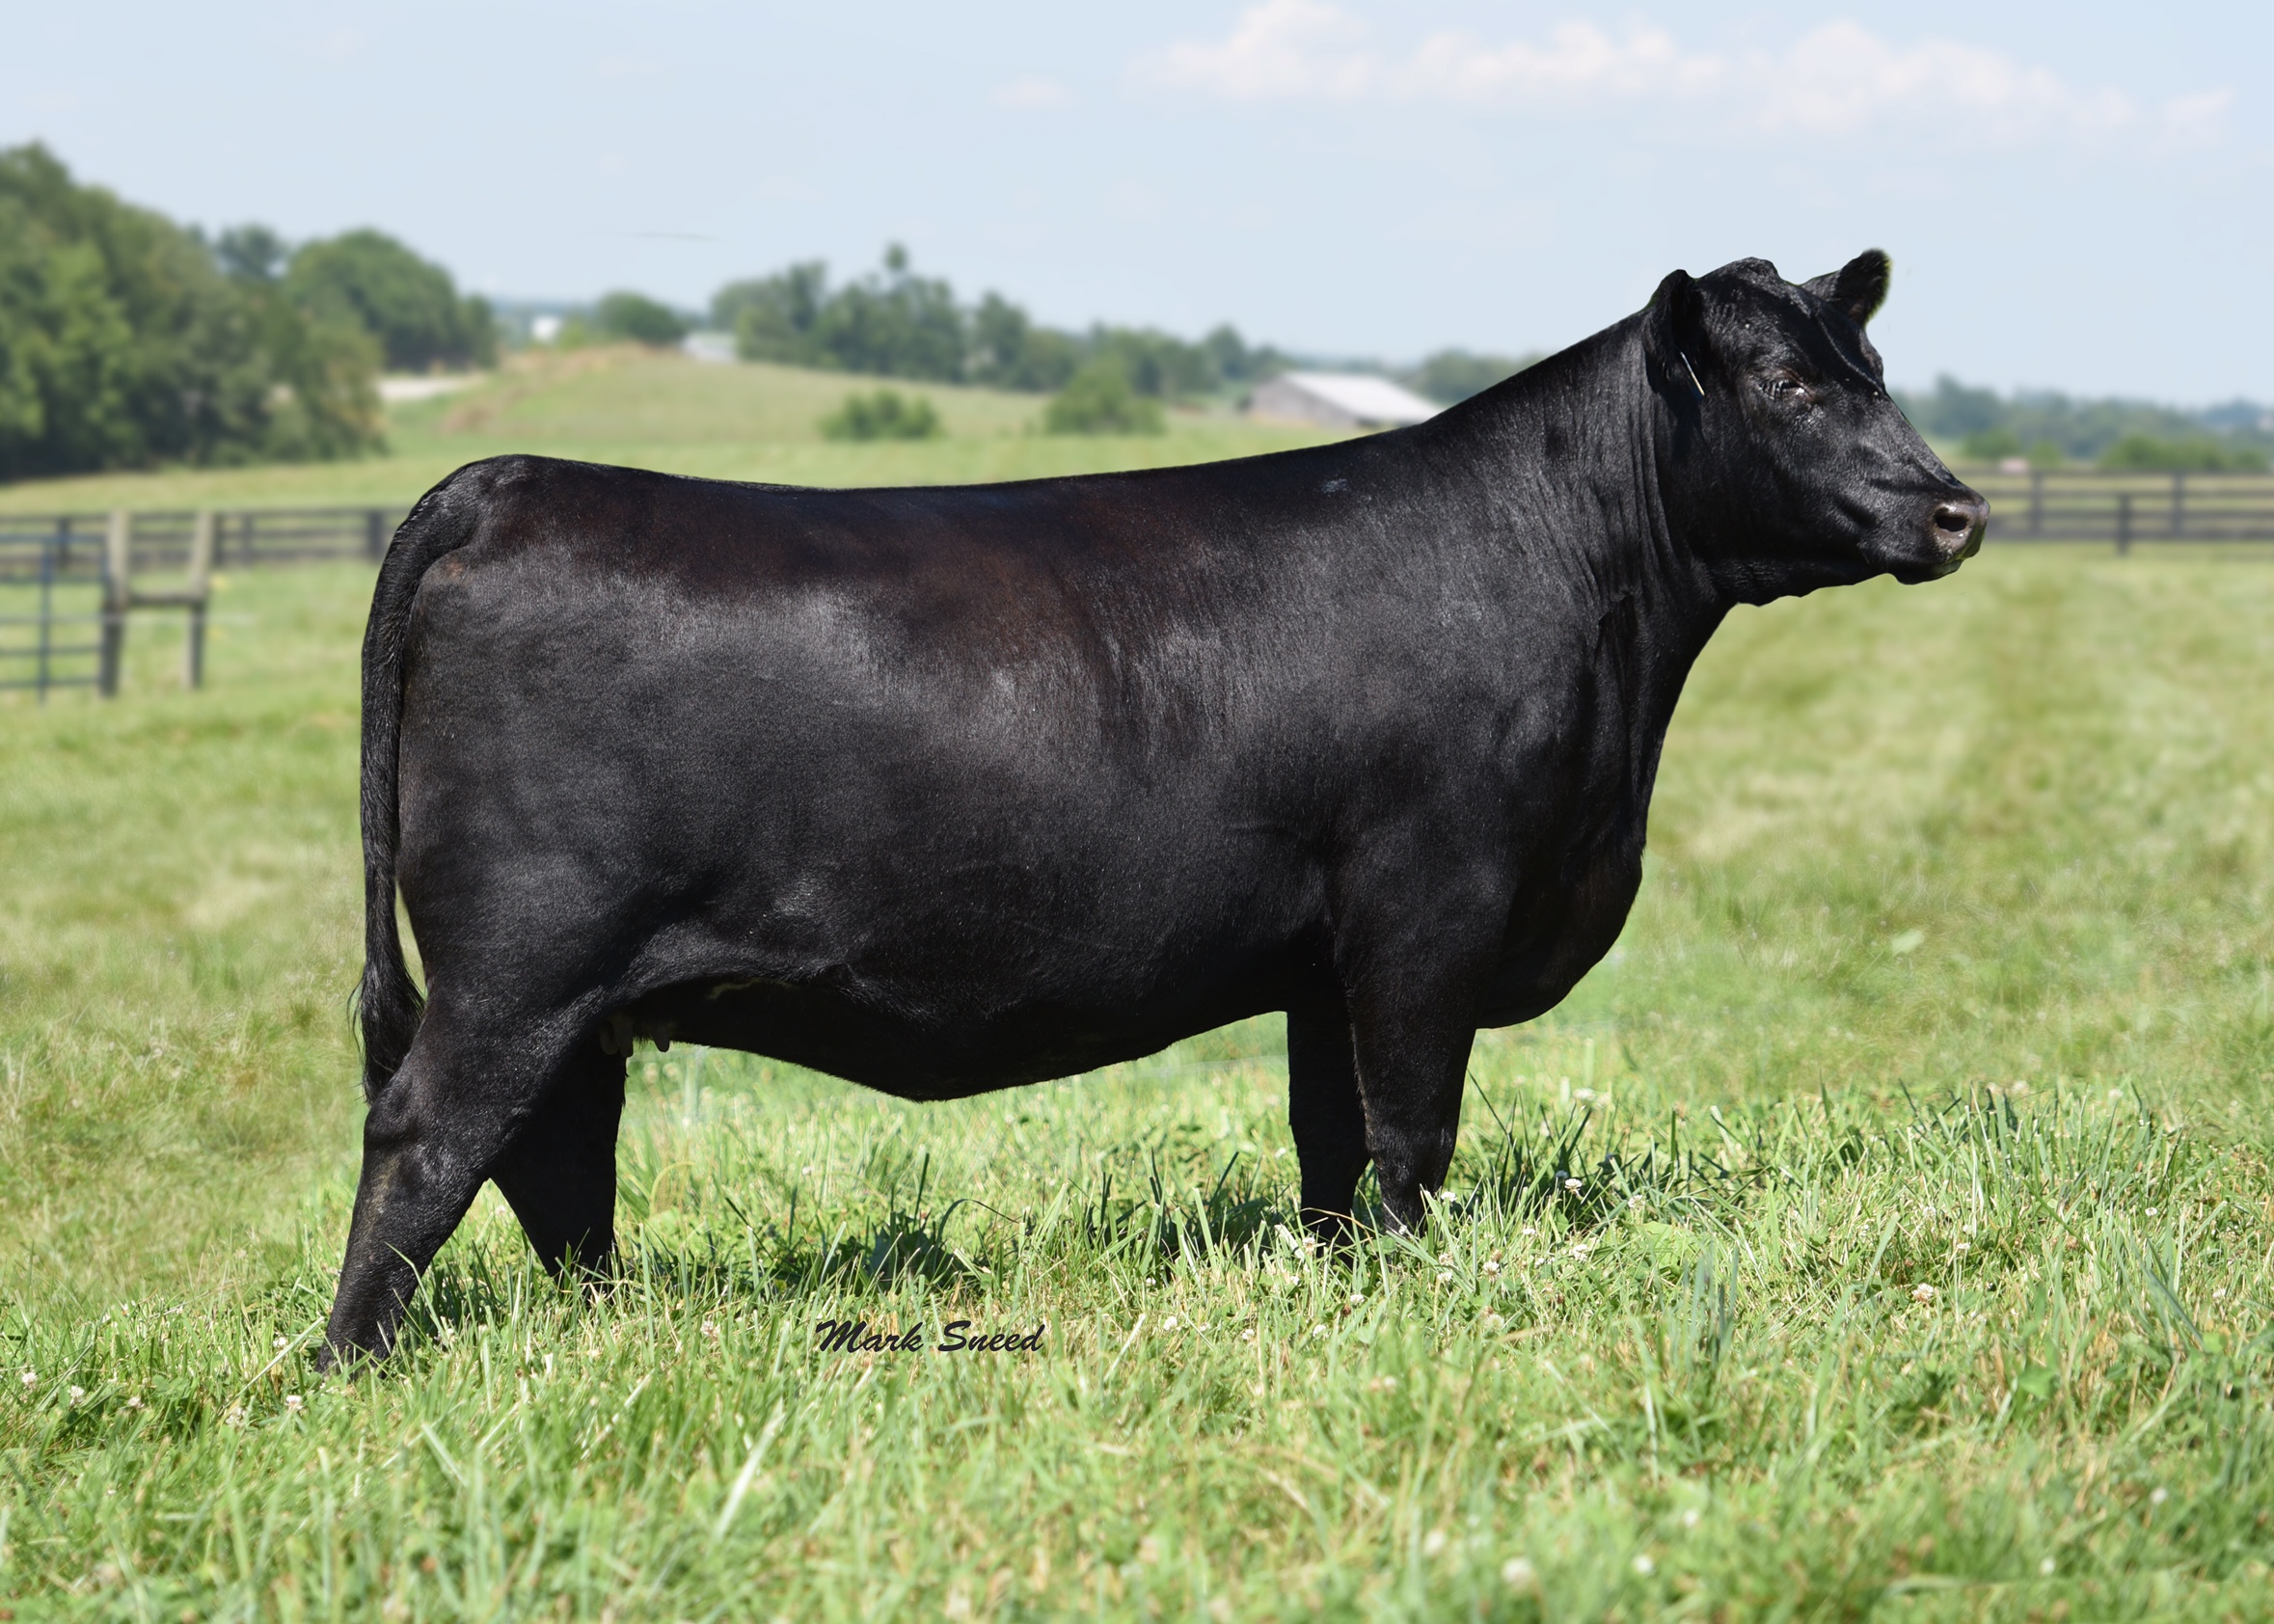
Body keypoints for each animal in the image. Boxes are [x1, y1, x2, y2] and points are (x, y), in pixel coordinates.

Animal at [319, 251, 1985, 1366]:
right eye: (1789, 384)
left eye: (1877, 375)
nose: (1954, 507)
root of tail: (510, 479)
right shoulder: (1429, 902)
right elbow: (1411, 1127)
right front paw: (1413, 1289)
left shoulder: (1325, 956)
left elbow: (1329, 1141)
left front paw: (1345, 1283)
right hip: (526, 955)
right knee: (429, 1135)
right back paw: (352, 1363)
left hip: (577, 988)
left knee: (554, 1153)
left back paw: (609, 1330)